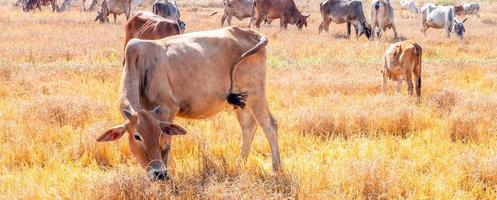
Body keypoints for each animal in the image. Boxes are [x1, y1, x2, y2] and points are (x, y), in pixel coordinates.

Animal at [95, 25, 280, 180]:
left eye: (158, 134)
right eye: (137, 136)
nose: (158, 174)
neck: (140, 65)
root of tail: (249, 32)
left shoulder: (168, 109)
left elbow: (166, 145)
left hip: (256, 93)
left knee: (269, 125)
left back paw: (276, 169)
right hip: (242, 101)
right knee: (248, 127)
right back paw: (240, 164)